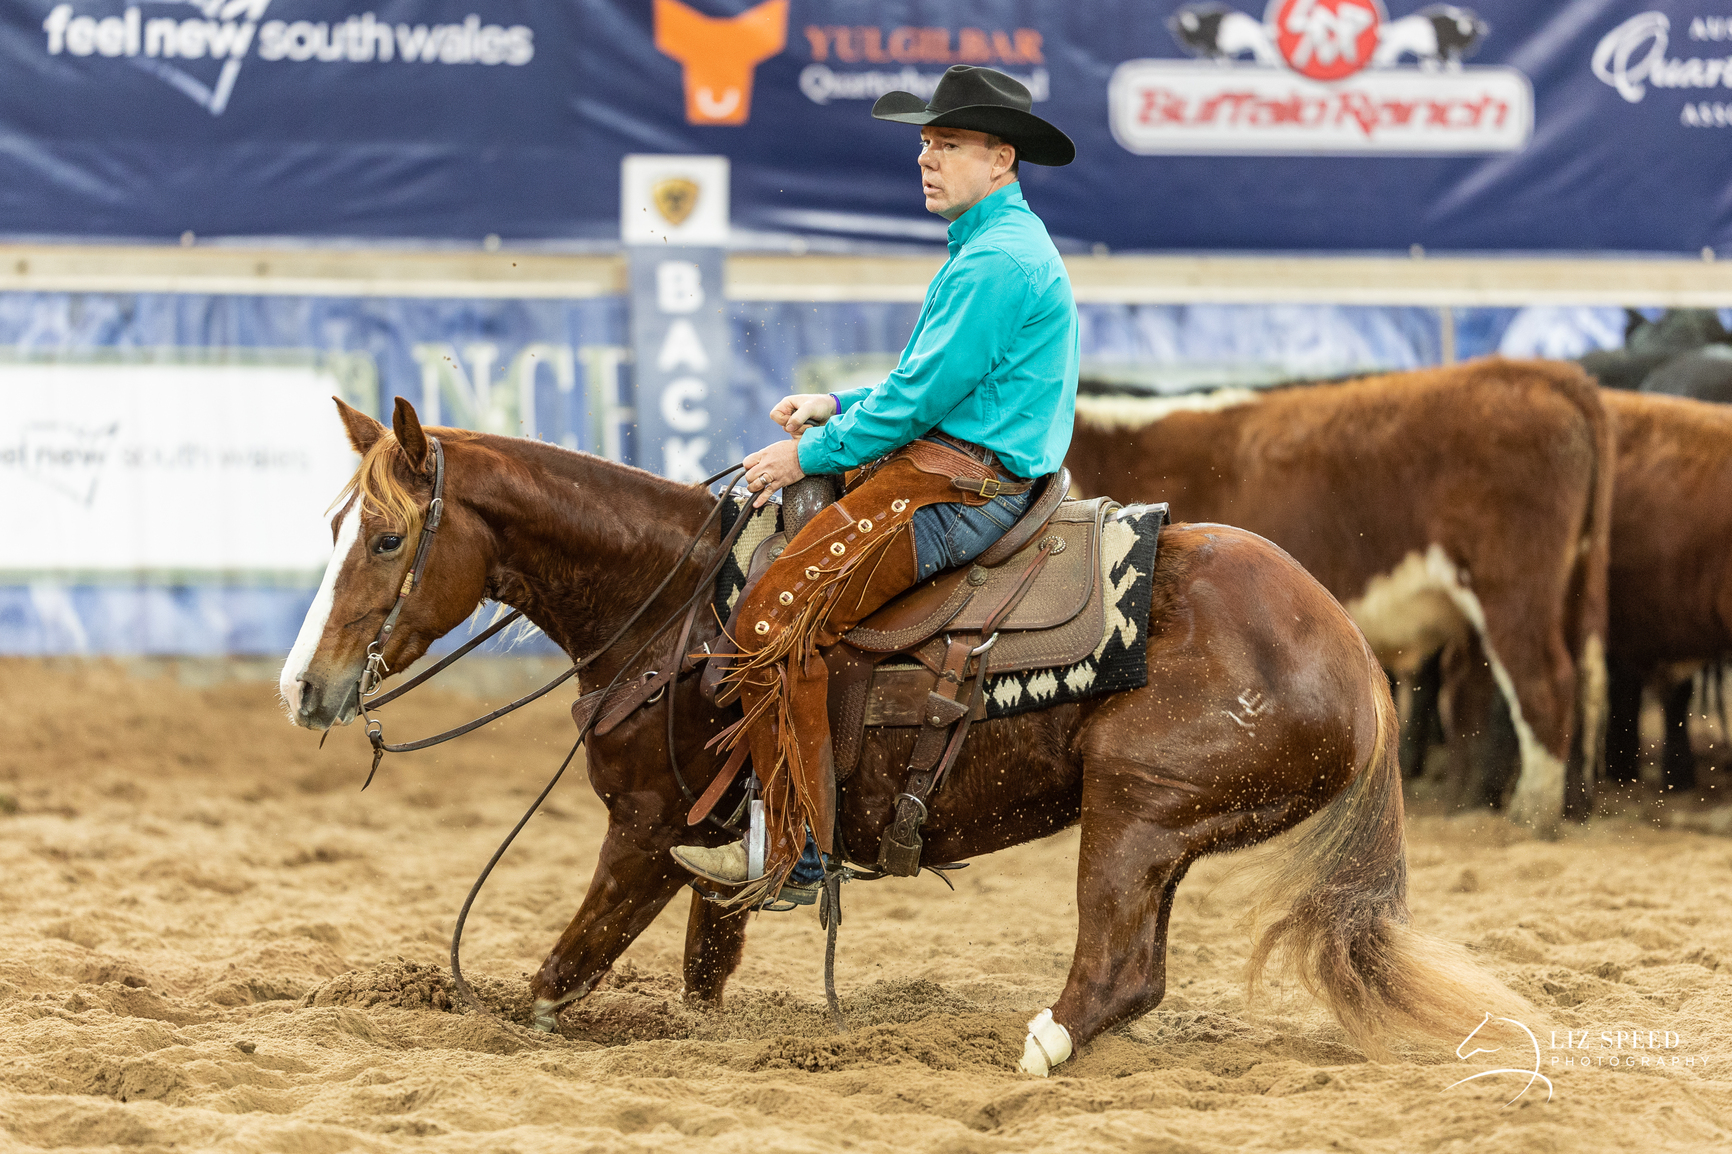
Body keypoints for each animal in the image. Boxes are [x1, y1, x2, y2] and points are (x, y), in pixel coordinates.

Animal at [279, 396, 1518, 1071]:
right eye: (334, 524)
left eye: (385, 537)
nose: (302, 685)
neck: (673, 601)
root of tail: (1355, 656)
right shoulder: (714, 848)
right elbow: (703, 973)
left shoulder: (640, 833)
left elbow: (559, 977)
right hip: (1163, 832)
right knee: (1143, 969)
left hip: (1133, 808)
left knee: (1115, 969)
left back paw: (1037, 1052)